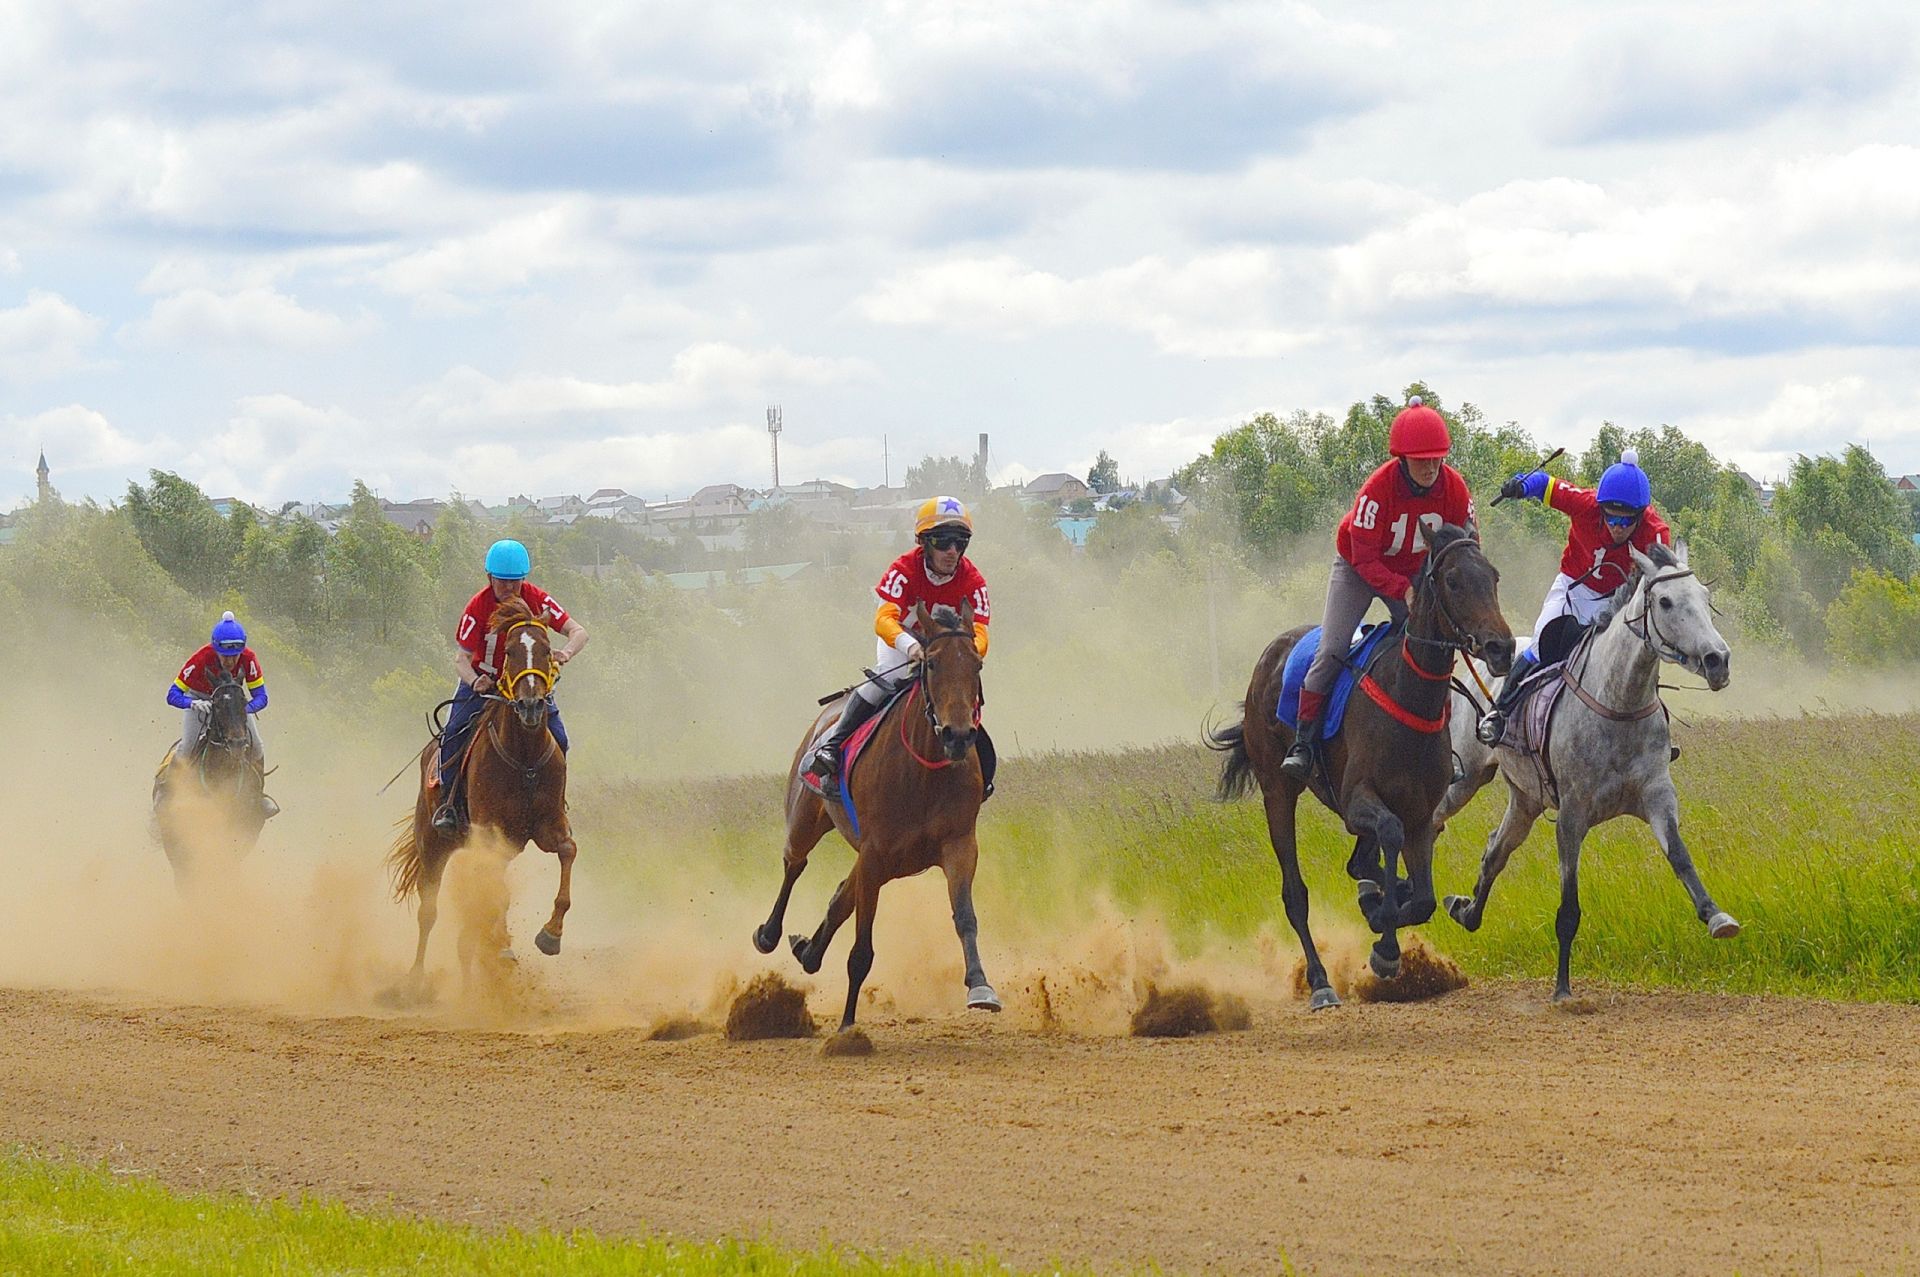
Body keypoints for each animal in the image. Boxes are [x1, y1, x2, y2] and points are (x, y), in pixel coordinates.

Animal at [384, 591, 576, 990]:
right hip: (432, 843)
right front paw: (504, 947)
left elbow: (567, 852)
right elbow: (495, 896)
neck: (524, 758)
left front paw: (550, 935)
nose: (531, 705)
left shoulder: (547, 828)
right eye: (511, 652)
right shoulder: (491, 834)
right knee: (428, 912)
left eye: (546, 649)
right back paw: (416, 978)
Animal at [748, 599, 998, 1036]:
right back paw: (770, 934)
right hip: (807, 820)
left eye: (976, 665)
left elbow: (965, 917)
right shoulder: (876, 852)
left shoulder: (958, 845)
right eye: (931, 663)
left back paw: (808, 951)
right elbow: (861, 949)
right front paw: (847, 1027)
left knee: (839, 897)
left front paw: (980, 987)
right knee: (795, 863)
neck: (924, 771)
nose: (958, 735)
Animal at [1213, 526, 1512, 1006]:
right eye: (1452, 581)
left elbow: (1424, 899)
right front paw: (1386, 946)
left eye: (1493, 576)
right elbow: (1389, 835)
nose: (1501, 647)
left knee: (1360, 864)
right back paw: (1320, 981)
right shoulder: (1358, 801)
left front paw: (1385, 916)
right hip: (1277, 789)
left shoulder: (1421, 815)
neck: (1409, 696)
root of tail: (1269, 656)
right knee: (1295, 892)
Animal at [1443, 537, 1743, 998]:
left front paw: (1716, 917)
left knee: (1496, 849)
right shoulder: (1572, 813)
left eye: (1706, 599)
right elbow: (1568, 906)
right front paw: (1563, 989)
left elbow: (1680, 857)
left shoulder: (1657, 795)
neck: (1619, 702)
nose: (1717, 660)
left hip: (1527, 799)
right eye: (1666, 601)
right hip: (1466, 780)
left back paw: (1466, 910)